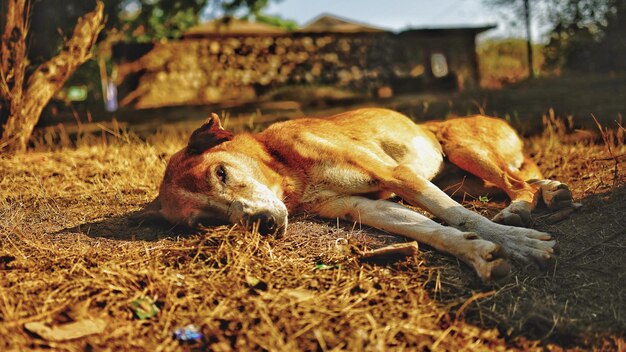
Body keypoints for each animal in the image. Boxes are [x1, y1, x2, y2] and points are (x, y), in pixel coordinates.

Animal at [135, 107, 572, 280]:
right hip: (461, 180)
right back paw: (553, 191)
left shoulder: (396, 174)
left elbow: (461, 216)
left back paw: (520, 210)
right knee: (522, 180)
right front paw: (479, 253)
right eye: (204, 223)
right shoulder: (363, 208)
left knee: (516, 183)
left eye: (221, 173)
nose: (262, 225)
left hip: (465, 148)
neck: (289, 170)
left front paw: (519, 244)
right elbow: (434, 230)